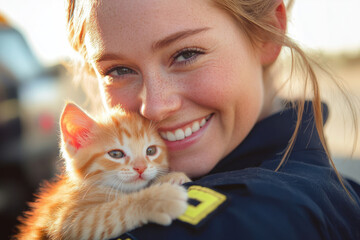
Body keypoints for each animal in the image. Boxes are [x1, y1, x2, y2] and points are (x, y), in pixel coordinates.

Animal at [13, 102, 191, 239]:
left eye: (151, 151)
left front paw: (172, 178)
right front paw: (159, 199)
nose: (141, 168)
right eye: (116, 154)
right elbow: (109, 213)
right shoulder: (66, 221)